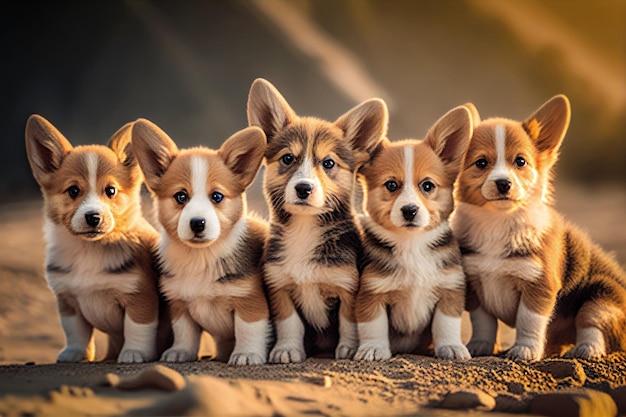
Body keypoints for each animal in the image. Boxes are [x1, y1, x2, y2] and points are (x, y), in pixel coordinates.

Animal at [26, 114, 163, 360]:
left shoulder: (140, 297)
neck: (89, 249)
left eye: (110, 191)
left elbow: (137, 328)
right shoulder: (68, 302)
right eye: (73, 190)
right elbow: (76, 333)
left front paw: (133, 353)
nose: (93, 217)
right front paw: (74, 354)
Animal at [130, 118, 270, 364]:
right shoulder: (180, 304)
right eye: (181, 197)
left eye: (217, 196)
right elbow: (184, 332)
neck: (201, 256)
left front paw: (246, 354)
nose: (197, 223)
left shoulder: (250, 300)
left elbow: (248, 329)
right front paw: (179, 352)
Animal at [245, 77, 386, 360]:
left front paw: (347, 349)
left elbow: (347, 322)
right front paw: (287, 350)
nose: (303, 188)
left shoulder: (347, 287)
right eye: (288, 158)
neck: (304, 228)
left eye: (328, 163)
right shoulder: (279, 286)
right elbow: (289, 324)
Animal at [354, 105, 470, 360]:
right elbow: (373, 326)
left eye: (427, 185)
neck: (411, 244)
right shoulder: (372, 292)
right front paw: (373, 349)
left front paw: (452, 347)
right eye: (391, 185)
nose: (409, 210)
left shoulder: (450, 289)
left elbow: (446, 325)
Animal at [450, 96, 624, 360]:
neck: (498, 222)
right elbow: (484, 323)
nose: (503, 184)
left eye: (520, 161)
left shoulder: (539, 285)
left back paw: (587, 349)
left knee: (591, 325)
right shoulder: (476, 286)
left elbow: (528, 322)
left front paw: (525, 350)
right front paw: (481, 345)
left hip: (600, 298)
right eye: (481, 163)